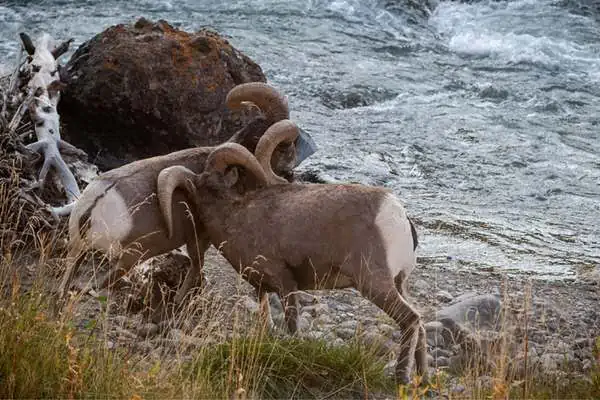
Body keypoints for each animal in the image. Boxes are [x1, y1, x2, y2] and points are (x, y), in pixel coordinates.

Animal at [58, 83, 302, 306]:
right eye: (285, 146)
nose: (289, 173)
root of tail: (93, 208)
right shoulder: (200, 238)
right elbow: (197, 265)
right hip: (126, 259)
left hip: (76, 253)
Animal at [155, 144, 426, 384]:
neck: (235, 218)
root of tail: (397, 215)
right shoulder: (261, 288)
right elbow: (266, 323)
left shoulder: (286, 283)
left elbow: (293, 325)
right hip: (399, 284)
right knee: (420, 323)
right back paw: (421, 377)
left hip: (375, 285)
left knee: (410, 319)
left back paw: (401, 378)